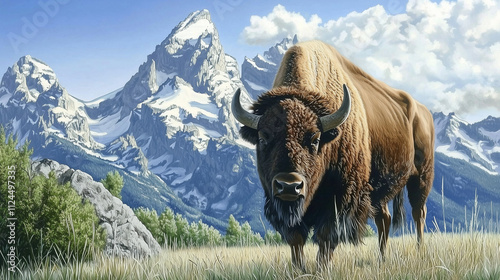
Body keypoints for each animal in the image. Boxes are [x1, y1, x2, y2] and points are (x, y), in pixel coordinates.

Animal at [232, 40, 432, 270]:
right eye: (263, 138)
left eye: (315, 139)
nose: (289, 185)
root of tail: (424, 111)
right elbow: (296, 239)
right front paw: (300, 269)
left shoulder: (340, 199)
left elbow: (326, 237)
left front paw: (322, 269)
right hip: (380, 191)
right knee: (385, 219)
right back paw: (382, 259)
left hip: (421, 177)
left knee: (419, 213)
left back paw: (420, 251)